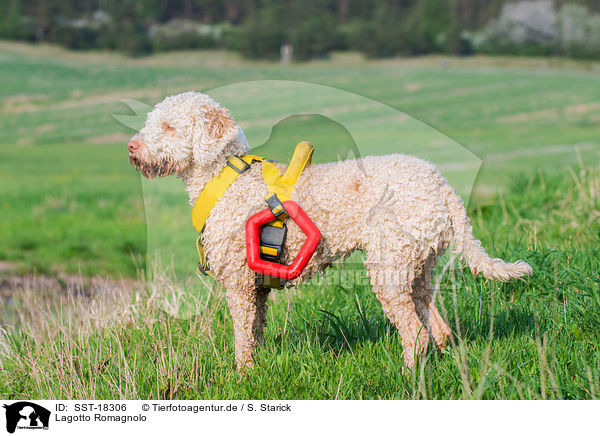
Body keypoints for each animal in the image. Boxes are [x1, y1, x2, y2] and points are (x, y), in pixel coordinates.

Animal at [126, 90, 528, 370]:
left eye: (169, 126)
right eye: (152, 121)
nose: (131, 146)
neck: (226, 178)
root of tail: (442, 185)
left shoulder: (239, 282)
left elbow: (242, 334)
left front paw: (241, 374)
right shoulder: (257, 287)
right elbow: (256, 331)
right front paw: (258, 368)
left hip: (389, 265)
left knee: (414, 332)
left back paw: (406, 374)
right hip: (416, 263)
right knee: (436, 324)